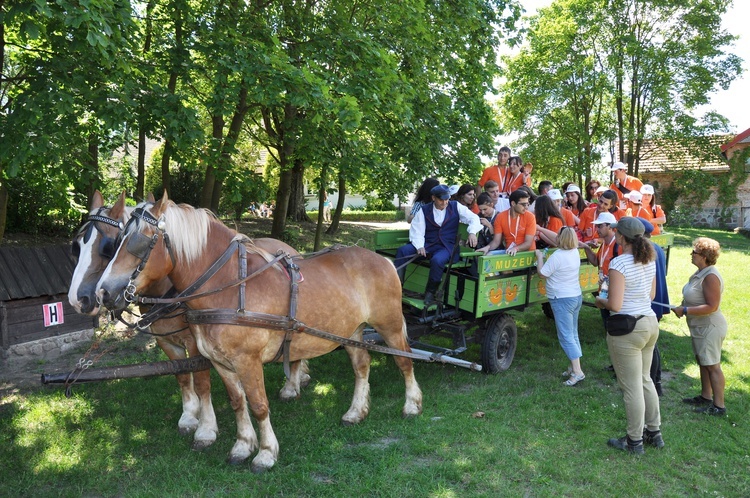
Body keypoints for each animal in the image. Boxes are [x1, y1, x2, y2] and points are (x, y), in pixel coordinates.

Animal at [67, 191, 308, 452]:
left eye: (108, 246)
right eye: (76, 246)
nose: (79, 300)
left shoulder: (195, 344)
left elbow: (201, 383)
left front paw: (206, 428)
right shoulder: (167, 343)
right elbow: (182, 377)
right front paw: (189, 415)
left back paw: (293, 384)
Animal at [97, 192, 424, 470]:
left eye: (139, 242)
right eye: (115, 243)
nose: (103, 292)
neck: (231, 286)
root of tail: (383, 260)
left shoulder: (248, 361)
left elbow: (258, 405)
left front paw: (266, 453)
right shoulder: (221, 362)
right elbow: (238, 402)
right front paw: (243, 446)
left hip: (389, 325)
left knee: (404, 360)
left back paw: (412, 404)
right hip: (352, 332)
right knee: (361, 366)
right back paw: (356, 412)